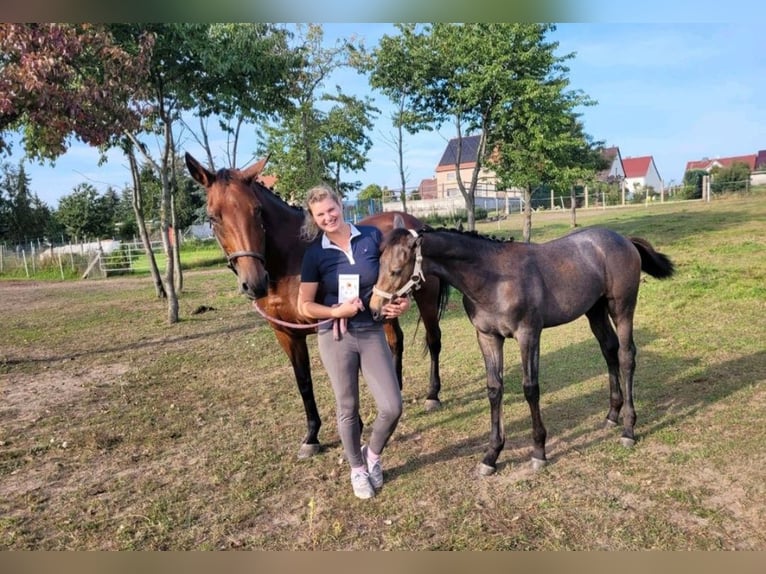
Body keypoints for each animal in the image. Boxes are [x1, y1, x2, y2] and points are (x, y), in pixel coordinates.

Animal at [186, 153, 450, 460]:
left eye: (257, 211)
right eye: (213, 216)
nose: (254, 283)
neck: (290, 263)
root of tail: (414, 223)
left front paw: (355, 424)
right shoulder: (286, 334)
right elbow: (304, 380)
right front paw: (312, 436)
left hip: (426, 298)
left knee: (433, 340)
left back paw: (433, 395)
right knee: (396, 341)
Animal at [368, 220, 676, 476]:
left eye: (396, 270)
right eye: (378, 265)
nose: (374, 309)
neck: (493, 279)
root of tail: (623, 239)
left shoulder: (529, 335)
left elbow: (531, 388)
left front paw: (539, 451)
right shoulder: (488, 337)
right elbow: (494, 389)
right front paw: (491, 455)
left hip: (621, 308)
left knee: (626, 356)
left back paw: (628, 428)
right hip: (595, 310)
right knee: (609, 350)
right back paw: (612, 415)